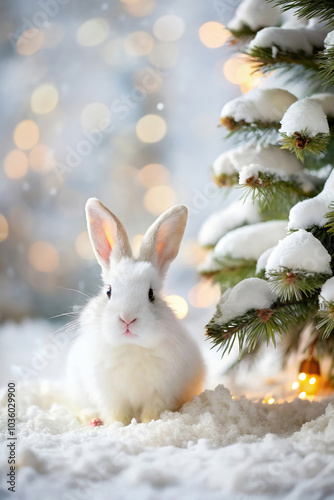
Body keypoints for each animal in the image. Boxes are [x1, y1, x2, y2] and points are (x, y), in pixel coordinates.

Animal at [66, 197, 205, 424]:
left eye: (151, 294)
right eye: (109, 291)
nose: (127, 319)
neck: (131, 346)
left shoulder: (161, 392)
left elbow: (152, 412)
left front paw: (149, 424)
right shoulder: (110, 395)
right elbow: (117, 414)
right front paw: (118, 426)